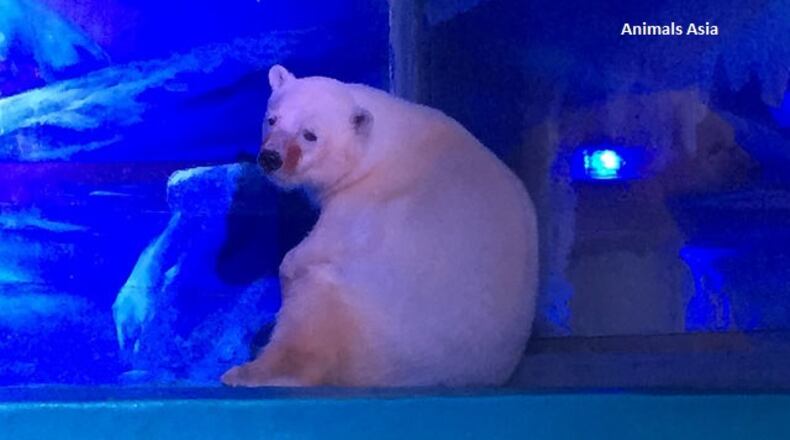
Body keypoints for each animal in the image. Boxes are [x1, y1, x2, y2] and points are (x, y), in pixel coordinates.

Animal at [220, 65, 538, 387]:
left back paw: (248, 370)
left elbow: (326, 243)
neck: (388, 144)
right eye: (272, 119)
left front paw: (287, 267)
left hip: (361, 314)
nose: (271, 158)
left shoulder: (367, 199)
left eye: (310, 135)